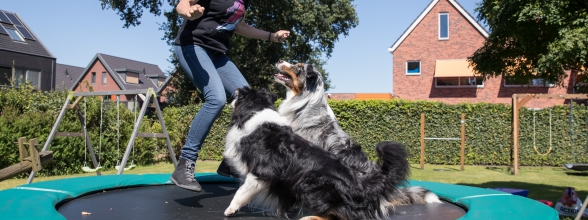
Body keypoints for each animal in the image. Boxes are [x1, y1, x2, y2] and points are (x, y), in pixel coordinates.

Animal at [222, 87, 418, 219]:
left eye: (237, 95)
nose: (230, 96)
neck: (256, 110)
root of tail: (361, 187)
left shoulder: (261, 171)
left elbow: (241, 191)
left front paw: (231, 209)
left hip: (311, 185)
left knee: (340, 216)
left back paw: (310, 217)